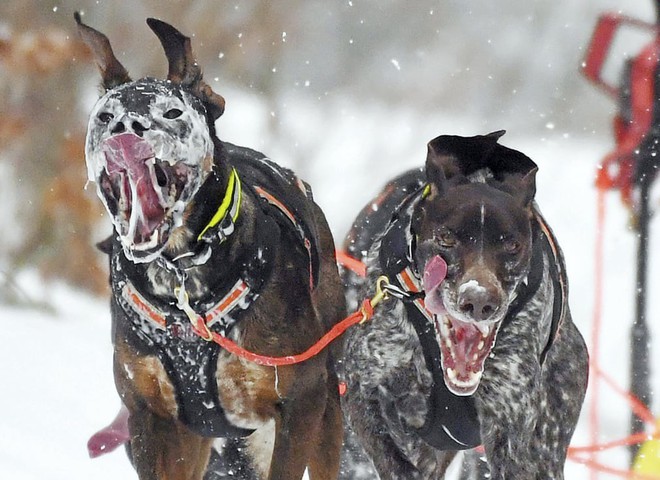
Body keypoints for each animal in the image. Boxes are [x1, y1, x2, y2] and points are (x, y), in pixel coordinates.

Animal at [76, 13, 342, 478]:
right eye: (106, 114)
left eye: (172, 110)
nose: (125, 128)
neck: (182, 279)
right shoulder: (152, 418)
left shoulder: (302, 403)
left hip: (328, 411)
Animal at [340, 132, 588, 480]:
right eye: (446, 238)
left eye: (512, 245)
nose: (479, 300)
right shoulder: (362, 389)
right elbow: (391, 458)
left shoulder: (510, 431)